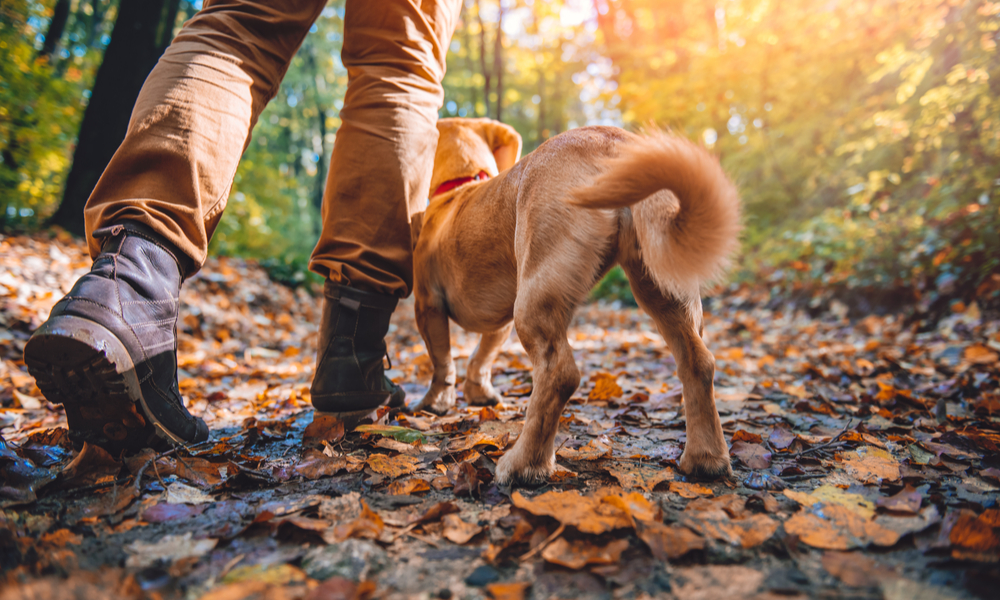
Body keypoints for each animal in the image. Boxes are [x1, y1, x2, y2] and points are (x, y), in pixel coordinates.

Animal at [408, 118, 744, 488]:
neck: (461, 187)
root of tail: (612, 140)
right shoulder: (499, 323)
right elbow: (482, 357)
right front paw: (479, 392)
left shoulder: (428, 305)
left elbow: (443, 362)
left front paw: (435, 402)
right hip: (662, 288)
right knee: (698, 363)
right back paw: (706, 458)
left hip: (533, 299)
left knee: (559, 374)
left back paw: (525, 464)